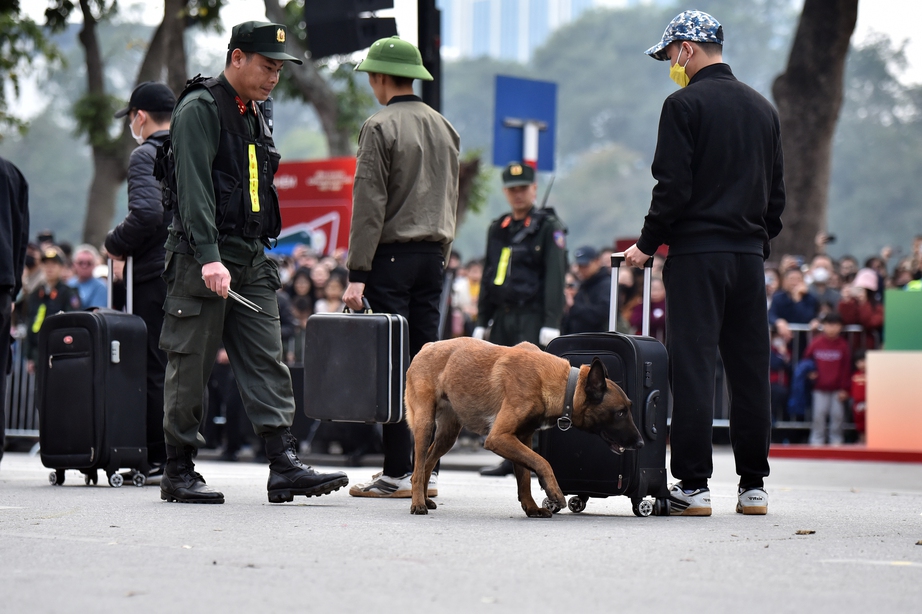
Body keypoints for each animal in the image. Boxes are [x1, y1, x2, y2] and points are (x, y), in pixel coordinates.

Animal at [402, 336, 640, 520]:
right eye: (620, 412)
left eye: (629, 408)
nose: (640, 442)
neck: (562, 386)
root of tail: (428, 346)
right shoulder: (499, 437)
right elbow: (542, 462)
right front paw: (554, 492)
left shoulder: (521, 437)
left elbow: (525, 474)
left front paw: (532, 508)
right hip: (424, 424)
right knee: (418, 467)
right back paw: (418, 503)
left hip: (448, 435)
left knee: (427, 462)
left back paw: (424, 497)